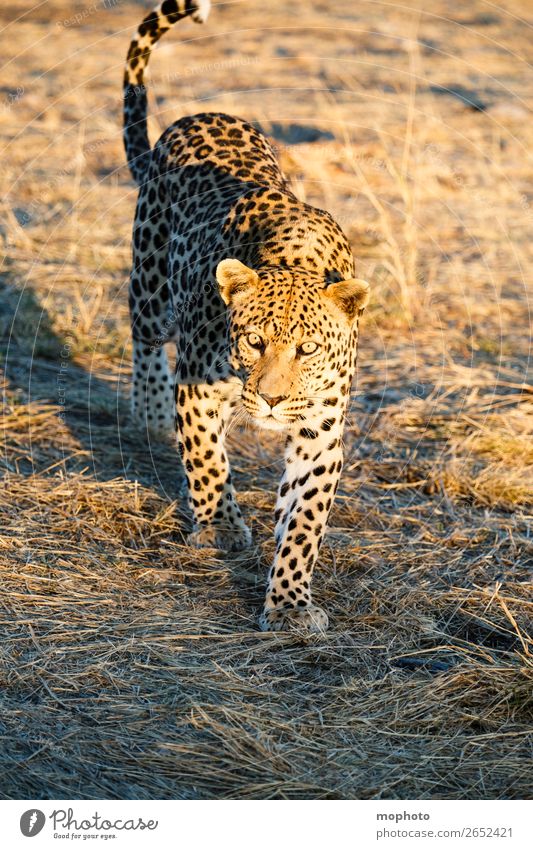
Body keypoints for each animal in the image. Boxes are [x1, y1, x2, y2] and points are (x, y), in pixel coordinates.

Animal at [122, 0, 368, 628]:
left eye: (309, 349)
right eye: (254, 341)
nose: (274, 401)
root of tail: (197, 115)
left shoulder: (321, 431)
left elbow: (303, 523)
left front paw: (289, 604)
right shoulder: (198, 386)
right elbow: (207, 461)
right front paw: (222, 530)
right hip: (152, 288)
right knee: (143, 335)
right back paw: (150, 409)